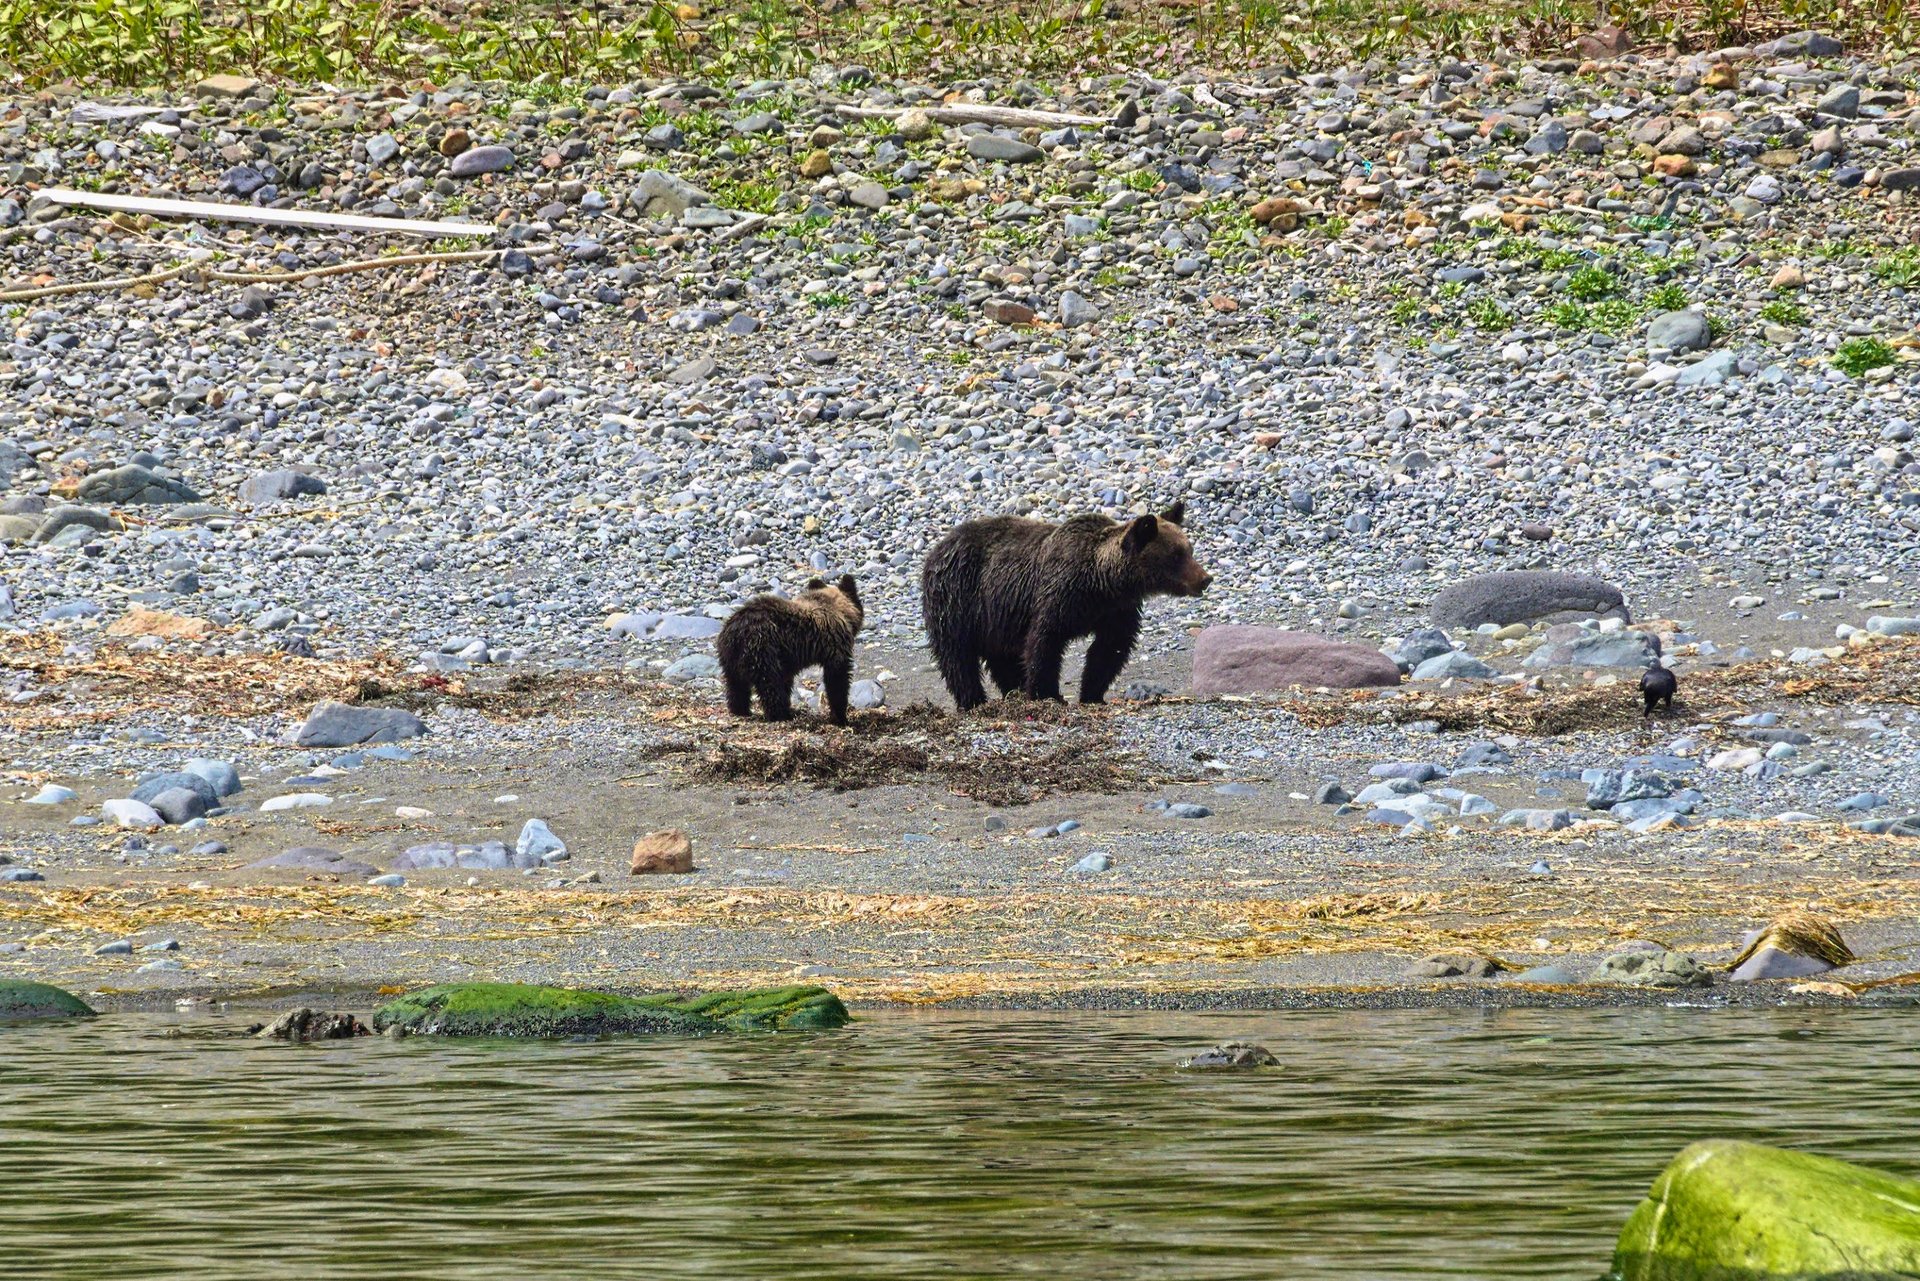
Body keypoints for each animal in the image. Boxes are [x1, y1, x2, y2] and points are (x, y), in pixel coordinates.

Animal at [716, 575, 864, 725]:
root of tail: (736, 629)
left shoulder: (787, 658)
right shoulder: (834, 647)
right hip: (762, 649)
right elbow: (837, 679)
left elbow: (787, 680)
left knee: (736, 685)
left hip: (730, 656)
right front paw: (840, 717)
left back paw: (740, 710)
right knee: (770, 685)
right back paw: (780, 715)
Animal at [921, 502, 1210, 711]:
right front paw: (1046, 694)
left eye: (1189, 549)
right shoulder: (1059, 594)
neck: (1102, 582)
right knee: (957, 655)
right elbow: (1045, 641)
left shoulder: (1117, 611)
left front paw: (1092, 694)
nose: (1205, 578)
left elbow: (1109, 649)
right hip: (958, 596)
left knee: (1001, 657)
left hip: (995, 617)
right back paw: (973, 701)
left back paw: (1012, 692)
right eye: (1176, 555)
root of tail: (937, 547)